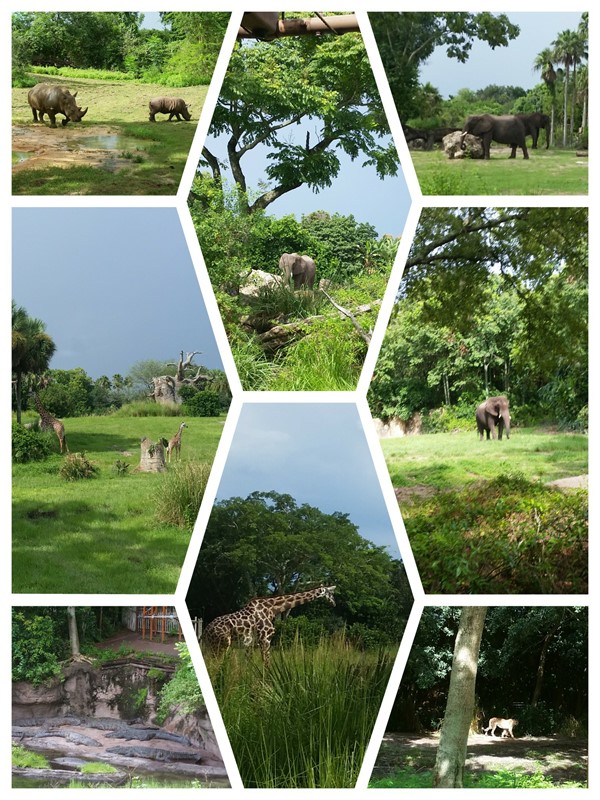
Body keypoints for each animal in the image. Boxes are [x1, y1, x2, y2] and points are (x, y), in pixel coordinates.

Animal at [200, 584, 332, 664]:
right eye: (330, 593)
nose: (334, 603)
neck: (272, 608)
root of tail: (205, 632)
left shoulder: (250, 645)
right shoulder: (265, 639)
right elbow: (266, 664)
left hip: (211, 647)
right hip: (221, 646)